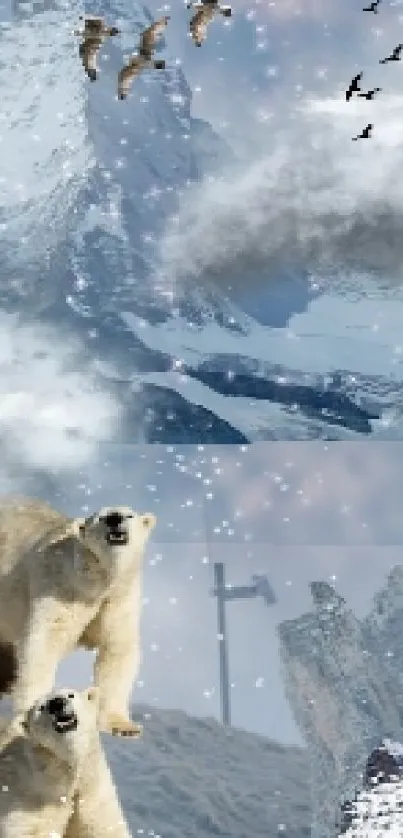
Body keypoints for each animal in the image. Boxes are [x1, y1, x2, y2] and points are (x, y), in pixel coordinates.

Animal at [0, 498, 156, 736]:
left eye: (129, 515)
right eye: (101, 517)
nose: (114, 519)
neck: (98, 582)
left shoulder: (118, 599)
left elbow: (117, 647)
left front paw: (123, 726)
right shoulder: (62, 587)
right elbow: (44, 642)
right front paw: (28, 718)